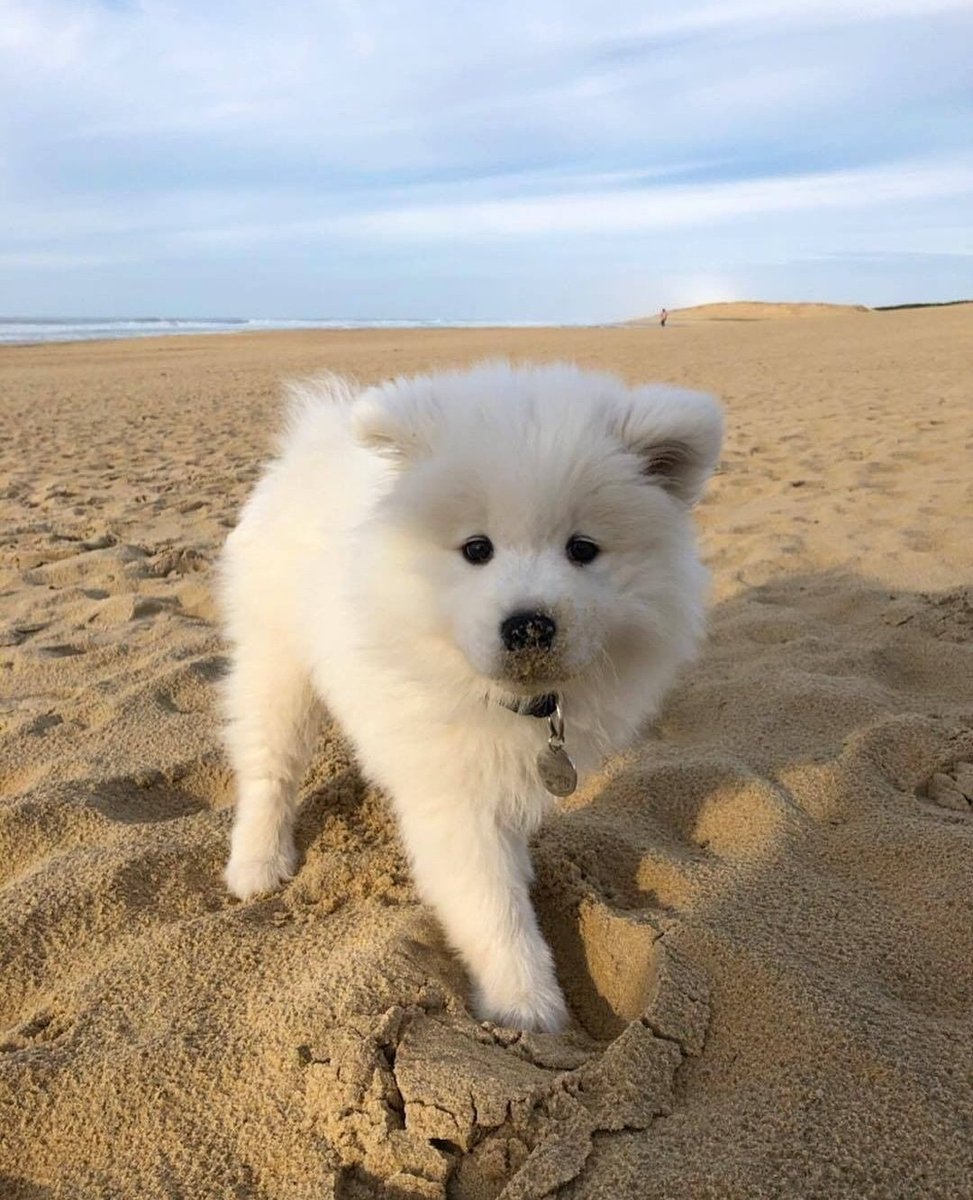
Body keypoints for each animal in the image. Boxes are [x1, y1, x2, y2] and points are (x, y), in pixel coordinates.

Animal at [223, 362, 724, 1032]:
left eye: (583, 549)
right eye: (477, 549)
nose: (530, 625)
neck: (510, 699)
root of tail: (314, 435)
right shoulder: (455, 795)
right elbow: (492, 906)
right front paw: (526, 1006)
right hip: (277, 660)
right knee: (268, 765)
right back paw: (258, 863)